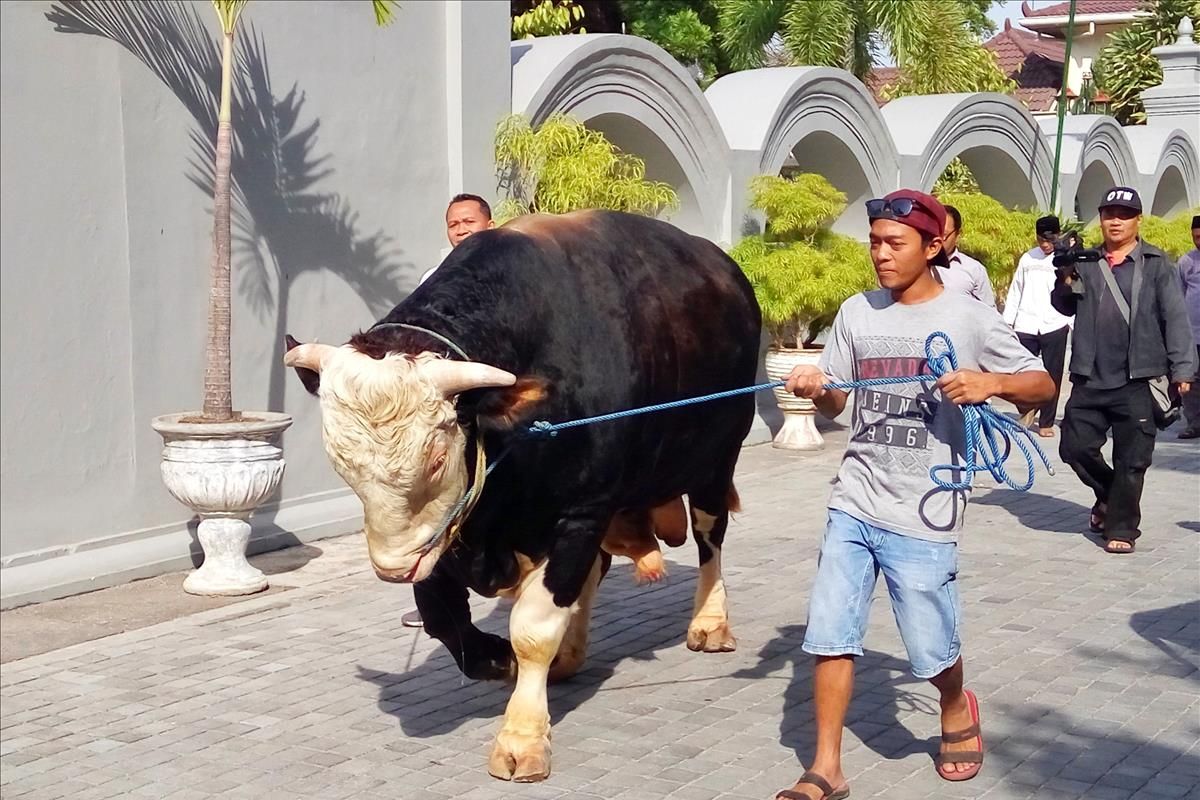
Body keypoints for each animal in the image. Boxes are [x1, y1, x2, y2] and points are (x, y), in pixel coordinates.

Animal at [283, 209, 758, 777]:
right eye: (341, 462)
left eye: (437, 457)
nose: (392, 568)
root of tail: (726, 272)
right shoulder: (446, 530)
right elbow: (441, 614)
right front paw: (493, 657)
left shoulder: (578, 512)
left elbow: (534, 629)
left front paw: (522, 736)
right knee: (595, 571)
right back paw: (571, 655)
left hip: (716, 460)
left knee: (710, 539)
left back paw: (710, 621)